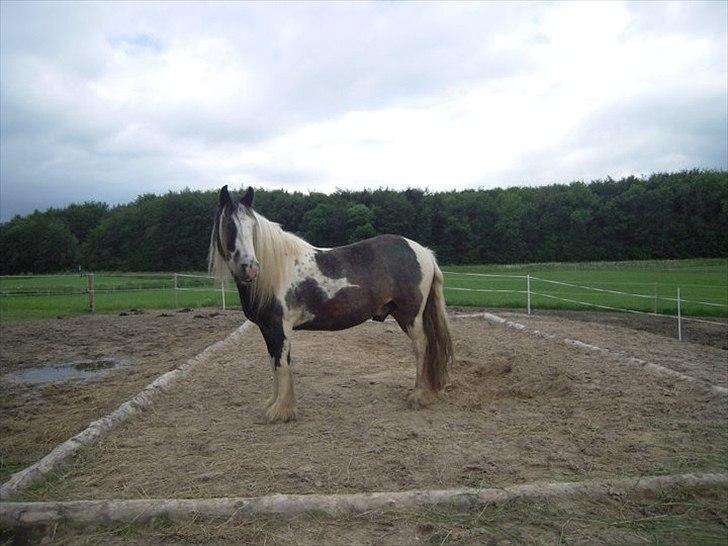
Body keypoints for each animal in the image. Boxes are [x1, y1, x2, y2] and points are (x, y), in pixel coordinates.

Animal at [208, 185, 452, 422]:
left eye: (252, 226)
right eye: (229, 225)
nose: (250, 268)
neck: (276, 271)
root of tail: (424, 252)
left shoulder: (280, 327)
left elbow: (282, 364)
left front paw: (282, 411)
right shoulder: (267, 329)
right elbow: (273, 362)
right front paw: (273, 404)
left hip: (410, 316)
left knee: (421, 347)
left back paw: (418, 395)